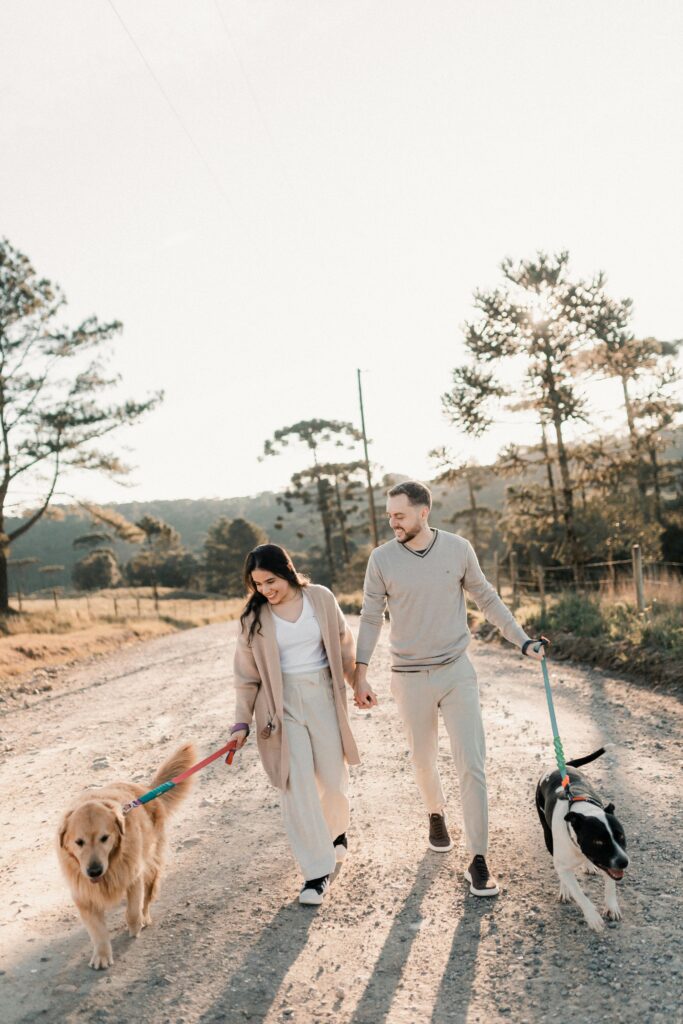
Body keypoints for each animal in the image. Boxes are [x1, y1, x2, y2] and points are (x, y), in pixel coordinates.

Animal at [536, 749, 626, 933]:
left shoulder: (609, 863)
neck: (584, 811)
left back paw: (589, 865)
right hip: (548, 837)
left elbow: (611, 884)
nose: (624, 862)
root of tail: (558, 767)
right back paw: (565, 889)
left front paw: (612, 906)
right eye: (598, 842)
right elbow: (578, 893)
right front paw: (592, 917)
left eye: (621, 836)